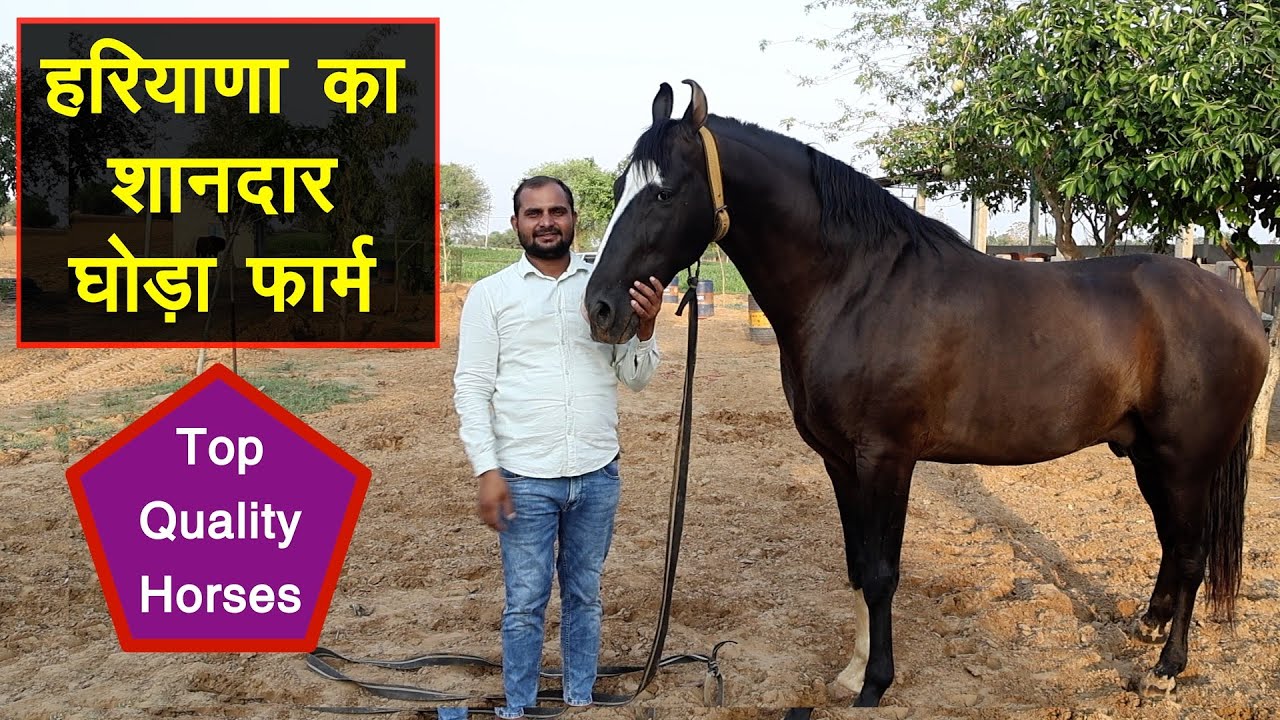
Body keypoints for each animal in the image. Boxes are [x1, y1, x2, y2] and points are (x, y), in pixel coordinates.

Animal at [583, 80, 1269, 707]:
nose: (602, 308)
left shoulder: (886, 458)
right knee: (1172, 543)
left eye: (664, 191)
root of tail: (1237, 305)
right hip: (1149, 456)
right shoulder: (840, 462)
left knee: (1191, 554)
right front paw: (852, 673)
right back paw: (1148, 625)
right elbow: (858, 565)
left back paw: (1167, 668)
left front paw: (876, 684)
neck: (856, 288)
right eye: (617, 190)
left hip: (1186, 460)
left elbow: (883, 572)